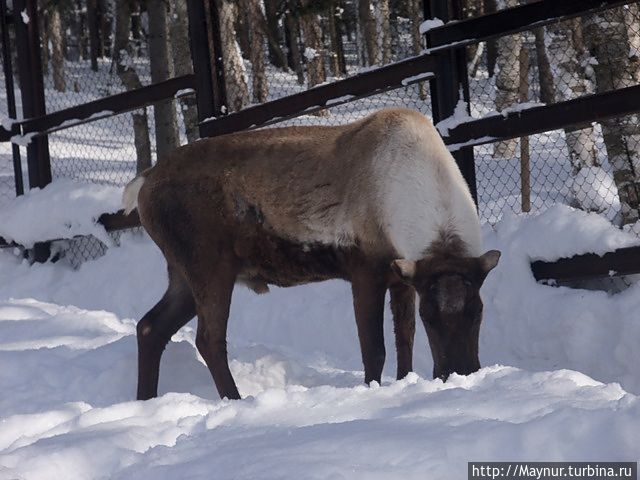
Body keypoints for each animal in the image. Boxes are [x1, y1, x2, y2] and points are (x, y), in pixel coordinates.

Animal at [124, 109, 500, 402]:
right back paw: (235, 399)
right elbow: (374, 350)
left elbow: (403, 341)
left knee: (150, 327)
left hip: (181, 272)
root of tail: (142, 185)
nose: (460, 372)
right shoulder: (365, 271)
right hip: (209, 265)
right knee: (208, 338)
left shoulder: (401, 277)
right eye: (429, 316)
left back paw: (145, 399)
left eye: (479, 311)